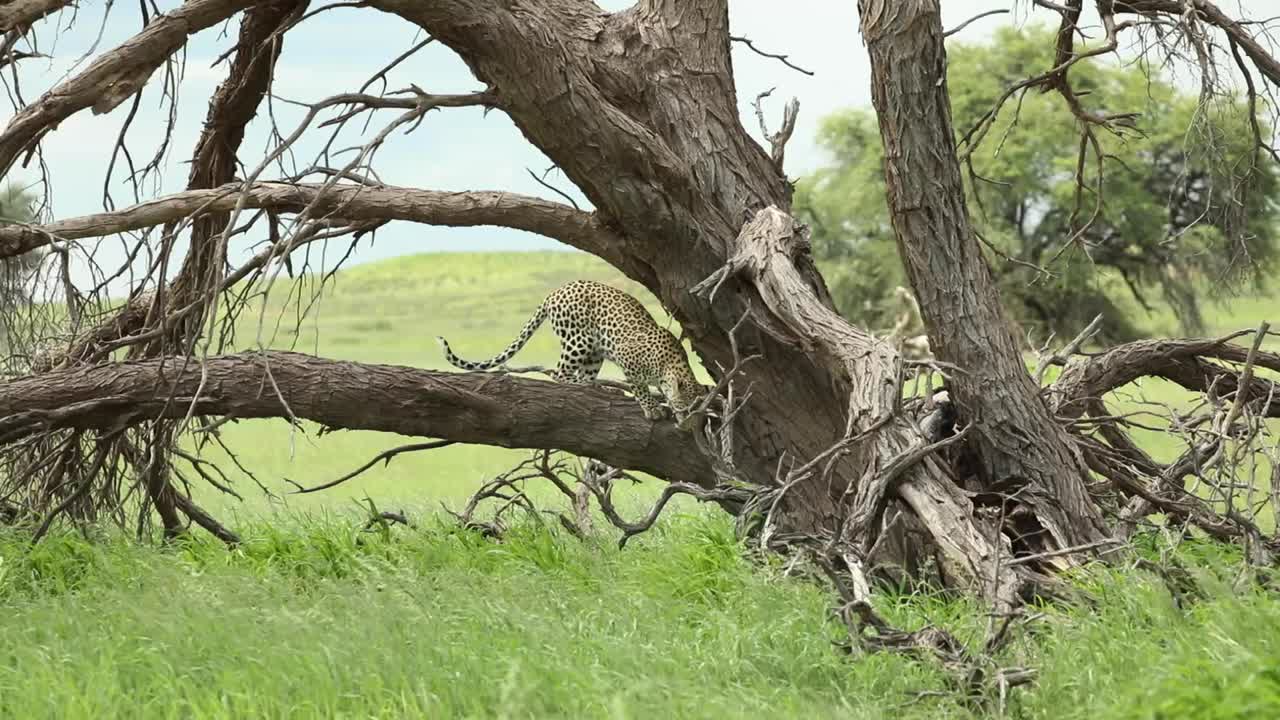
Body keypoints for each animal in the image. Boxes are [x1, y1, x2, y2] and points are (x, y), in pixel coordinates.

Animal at [437, 280, 704, 422]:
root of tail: (554, 293)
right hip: (578, 341)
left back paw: (598, 388)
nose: (687, 423)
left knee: (583, 376)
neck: (669, 363)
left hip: (594, 352)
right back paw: (581, 386)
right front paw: (652, 409)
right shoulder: (628, 363)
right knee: (560, 375)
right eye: (685, 408)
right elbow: (640, 388)